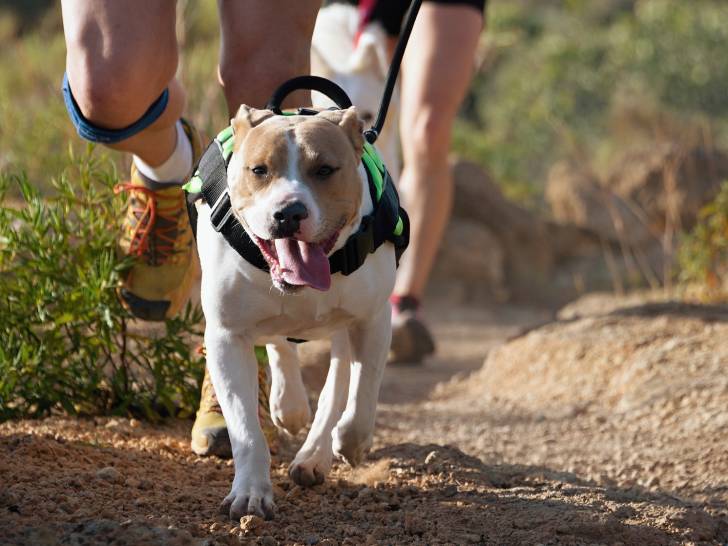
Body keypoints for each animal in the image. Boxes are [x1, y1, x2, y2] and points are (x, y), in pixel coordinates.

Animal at [193, 104, 398, 516]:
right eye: (259, 170)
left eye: (324, 170)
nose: (289, 213)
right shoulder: (227, 337)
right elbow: (245, 428)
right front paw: (251, 492)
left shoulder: (372, 319)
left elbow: (361, 393)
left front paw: (349, 442)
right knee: (280, 344)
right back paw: (290, 406)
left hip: (344, 328)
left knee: (337, 387)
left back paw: (314, 456)